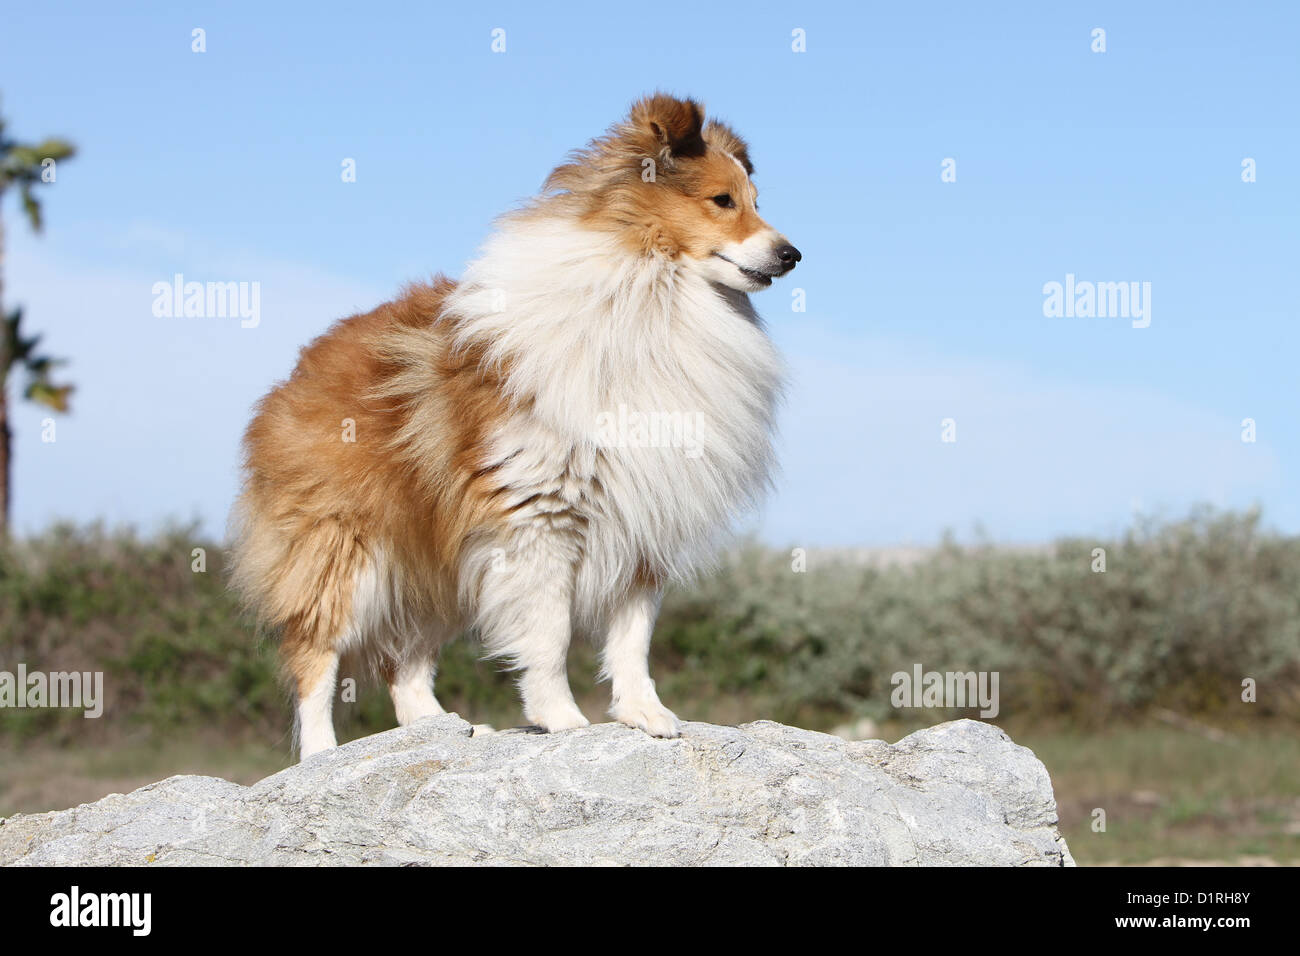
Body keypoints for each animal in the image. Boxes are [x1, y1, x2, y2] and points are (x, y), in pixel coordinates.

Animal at [233, 93, 800, 759]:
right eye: (722, 200)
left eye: (757, 199)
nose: (792, 254)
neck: (652, 295)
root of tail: (302, 366)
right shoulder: (539, 518)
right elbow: (550, 637)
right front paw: (564, 722)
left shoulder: (645, 518)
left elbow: (633, 638)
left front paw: (645, 715)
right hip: (346, 551)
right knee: (314, 653)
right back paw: (323, 755)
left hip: (436, 560)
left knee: (406, 662)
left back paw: (448, 731)